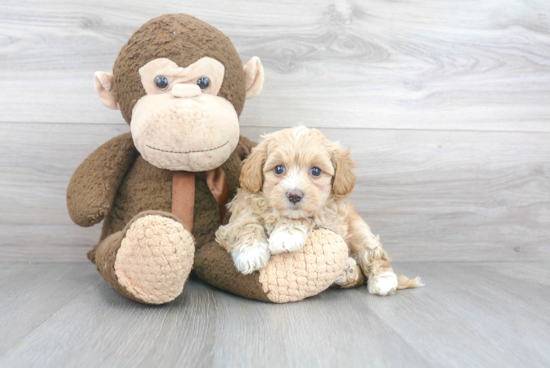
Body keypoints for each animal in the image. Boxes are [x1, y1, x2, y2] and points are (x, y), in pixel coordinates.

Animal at [216, 126, 422, 296]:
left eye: (315, 171)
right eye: (279, 169)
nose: (294, 195)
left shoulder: (330, 219)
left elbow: (308, 217)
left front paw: (286, 234)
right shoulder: (232, 223)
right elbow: (247, 226)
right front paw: (251, 254)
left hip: (358, 230)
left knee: (372, 253)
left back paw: (382, 280)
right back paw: (347, 270)